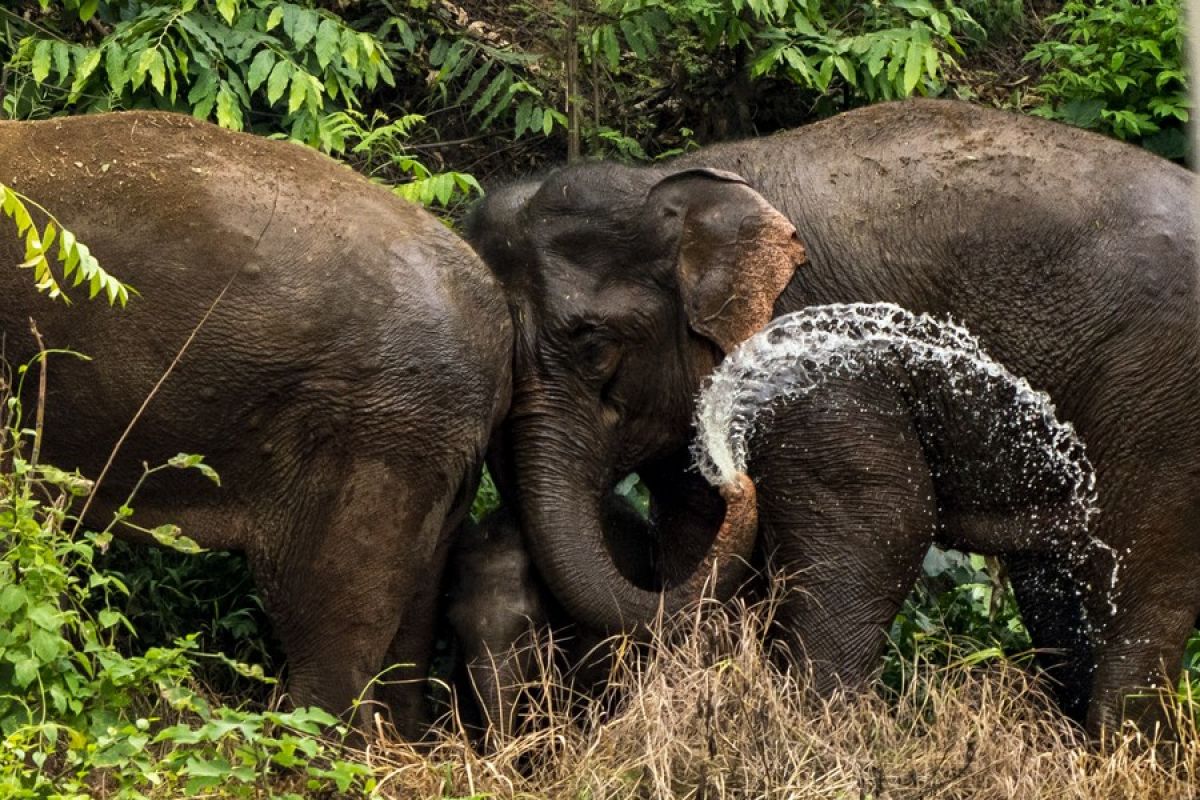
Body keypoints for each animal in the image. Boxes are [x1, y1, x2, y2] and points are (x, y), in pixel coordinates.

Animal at [468, 98, 1200, 738]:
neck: (675, 181)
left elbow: (878, 520)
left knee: (1138, 584)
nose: (737, 474)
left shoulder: (814, 357)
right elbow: (699, 534)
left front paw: (815, 739)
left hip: (1162, 398)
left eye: (593, 346)